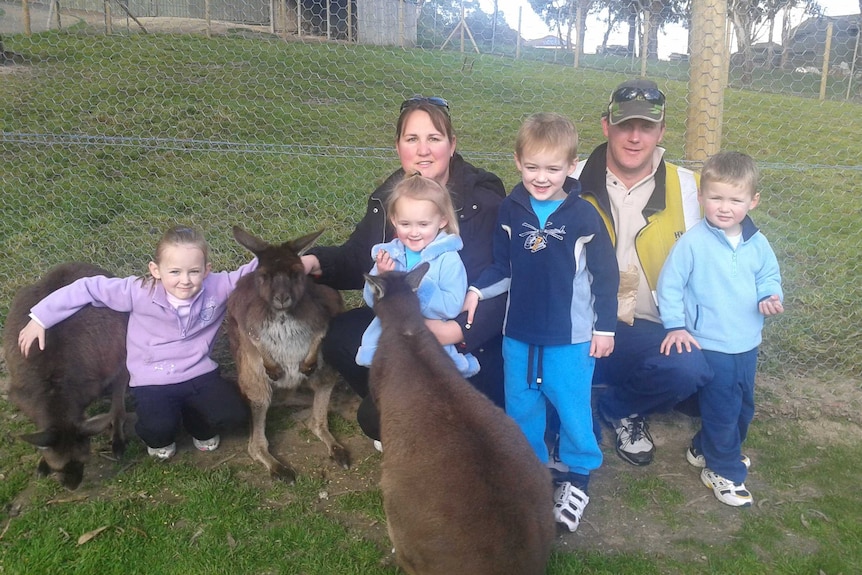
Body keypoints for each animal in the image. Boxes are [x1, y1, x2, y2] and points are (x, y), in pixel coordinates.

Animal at [1, 264, 129, 488]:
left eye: (83, 461)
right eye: (57, 467)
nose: (71, 487)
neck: (54, 391)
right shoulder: (24, 398)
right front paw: (42, 462)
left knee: (118, 397)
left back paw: (117, 440)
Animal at [228, 227, 352, 484]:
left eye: (296, 274)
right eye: (264, 276)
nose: (282, 298)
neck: (283, 315)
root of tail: (289, 388)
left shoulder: (324, 313)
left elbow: (321, 334)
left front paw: (306, 363)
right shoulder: (247, 324)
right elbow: (255, 340)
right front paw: (274, 367)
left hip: (327, 369)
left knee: (316, 421)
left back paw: (338, 452)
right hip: (253, 378)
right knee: (255, 443)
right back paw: (280, 470)